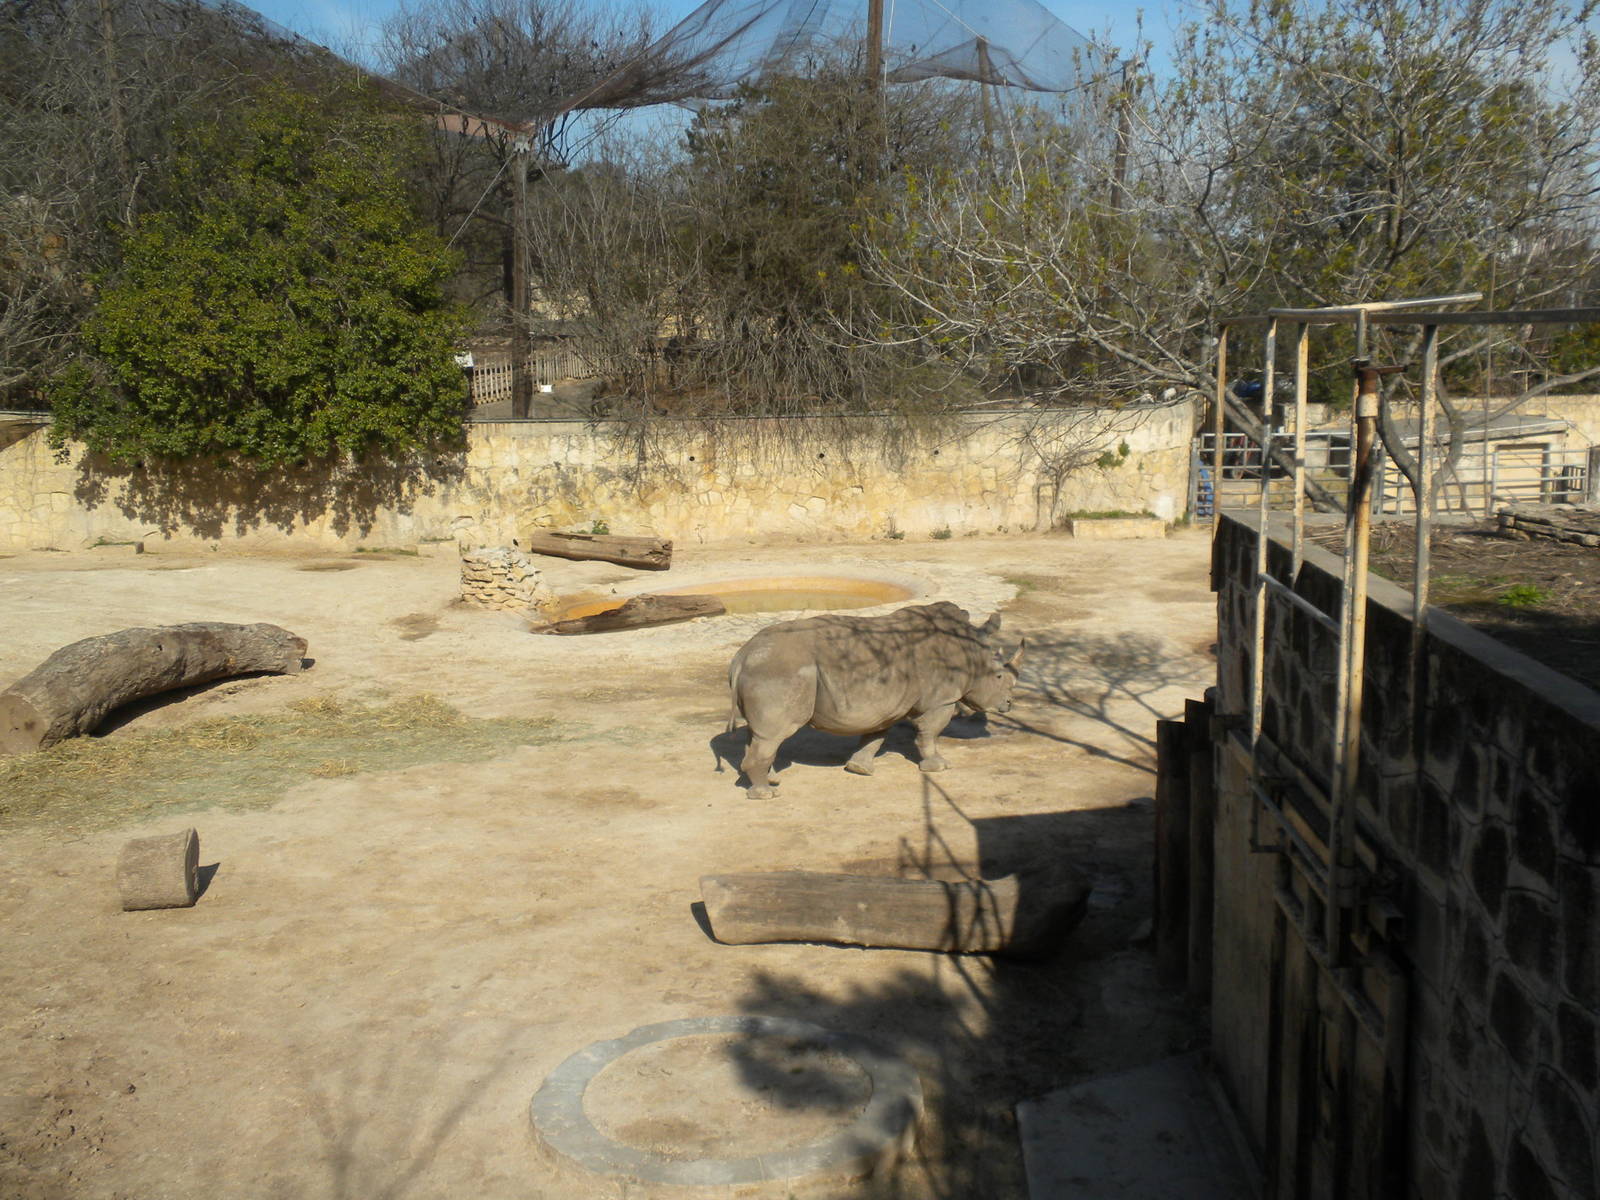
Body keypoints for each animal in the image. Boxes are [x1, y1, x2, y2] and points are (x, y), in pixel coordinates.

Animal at [724, 601, 1024, 798]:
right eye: (999, 676)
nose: (1009, 704)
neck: (972, 652)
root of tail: (742, 656)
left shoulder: (885, 703)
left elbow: (875, 736)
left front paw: (860, 769)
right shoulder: (940, 700)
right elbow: (930, 733)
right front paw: (939, 767)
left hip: (766, 669)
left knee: (760, 733)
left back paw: (771, 781)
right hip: (779, 672)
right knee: (774, 734)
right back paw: (766, 794)